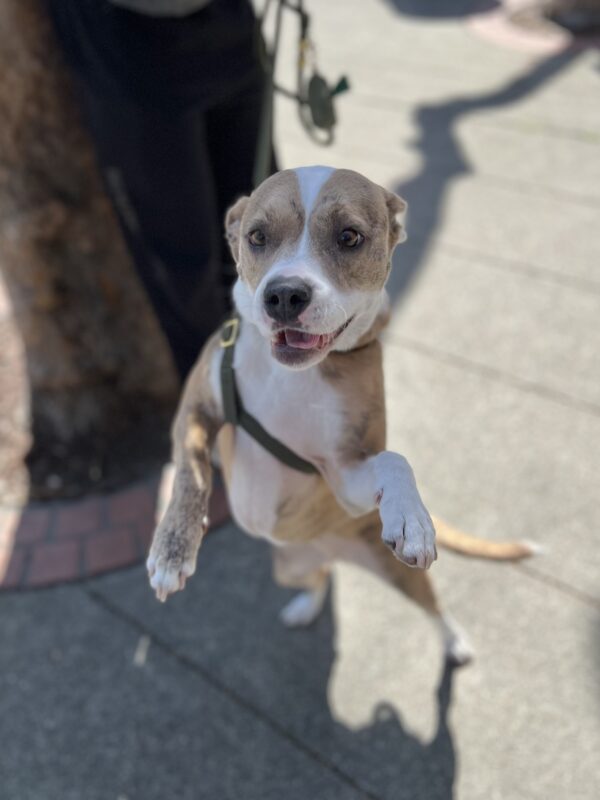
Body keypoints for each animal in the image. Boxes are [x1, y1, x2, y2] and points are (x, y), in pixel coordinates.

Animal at [148, 166, 532, 664]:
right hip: (289, 567)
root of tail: (330, 548)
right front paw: (171, 549)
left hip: (393, 565)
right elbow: (190, 471)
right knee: (321, 578)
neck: (292, 373)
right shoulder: (196, 408)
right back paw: (305, 608)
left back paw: (455, 641)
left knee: (430, 605)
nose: (284, 295)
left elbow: (394, 459)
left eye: (349, 236)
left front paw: (411, 518)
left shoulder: (343, 475)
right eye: (256, 237)